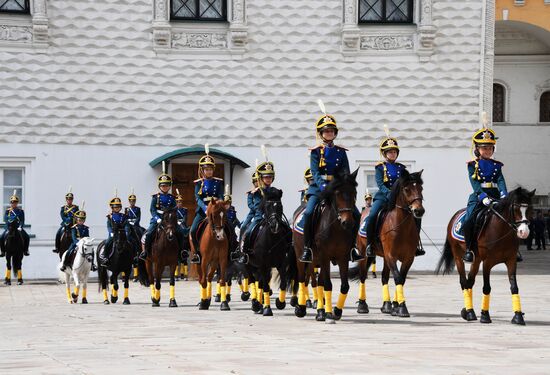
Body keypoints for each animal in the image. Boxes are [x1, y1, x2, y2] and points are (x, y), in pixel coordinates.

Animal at [247, 188, 296, 318]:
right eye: (267, 206)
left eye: (280, 206)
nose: (275, 225)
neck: (272, 240)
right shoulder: (263, 265)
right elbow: (264, 287)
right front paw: (267, 309)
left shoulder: (281, 264)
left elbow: (282, 284)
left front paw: (280, 302)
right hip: (249, 264)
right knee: (252, 281)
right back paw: (256, 304)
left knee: (259, 283)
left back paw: (259, 305)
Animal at [294, 170, 362, 324]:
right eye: (337, 194)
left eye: (354, 193)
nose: (348, 222)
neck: (336, 227)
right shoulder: (324, 256)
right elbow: (327, 285)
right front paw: (328, 313)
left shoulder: (343, 257)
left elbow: (344, 285)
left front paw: (336, 311)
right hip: (302, 257)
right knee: (302, 279)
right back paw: (301, 308)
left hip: (316, 260)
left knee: (316, 281)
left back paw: (320, 310)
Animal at [356, 169, 430, 318]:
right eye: (407, 189)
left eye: (421, 188)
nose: (419, 211)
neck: (401, 227)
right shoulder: (391, 256)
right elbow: (397, 277)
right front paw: (402, 308)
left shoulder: (408, 258)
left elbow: (401, 278)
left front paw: (396, 306)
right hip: (363, 253)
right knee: (362, 276)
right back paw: (362, 305)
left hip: (384, 257)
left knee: (384, 278)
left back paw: (386, 305)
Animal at [440, 188, 536, 326]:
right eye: (516, 208)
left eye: (530, 209)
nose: (524, 232)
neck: (501, 230)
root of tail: (454, 216)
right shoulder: (487, 262)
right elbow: (486, 288)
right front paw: (485, 315)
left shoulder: (511, 261)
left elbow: (514, 287)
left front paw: (518, 316)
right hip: (458, 256)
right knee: (463, 281)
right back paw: (470, 312)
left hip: (476, 259)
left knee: (470, 281)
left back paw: (468, 311)